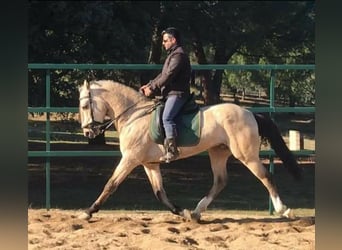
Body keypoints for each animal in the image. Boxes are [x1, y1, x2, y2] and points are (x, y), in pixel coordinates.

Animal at [77, 79, 302, 221]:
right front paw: (182, 212)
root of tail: (250, 113)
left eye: (85, 106)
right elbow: (160, 193)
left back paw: (284, 210)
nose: (88, 132)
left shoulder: (130, 159)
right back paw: (196, 212)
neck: (134, 115)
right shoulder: (149, 164)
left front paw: (88, 211)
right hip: (218, 152)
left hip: (246, 155)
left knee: (266, 177)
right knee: (220, 181)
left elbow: (111, 185)